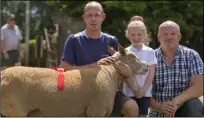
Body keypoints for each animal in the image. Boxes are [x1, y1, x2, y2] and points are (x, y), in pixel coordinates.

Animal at [0, 44, 149, 116]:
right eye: (132, 57)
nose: (147, 66)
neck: (110, 74)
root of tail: (3, 74)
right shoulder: (96, 110)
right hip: (14, 110)